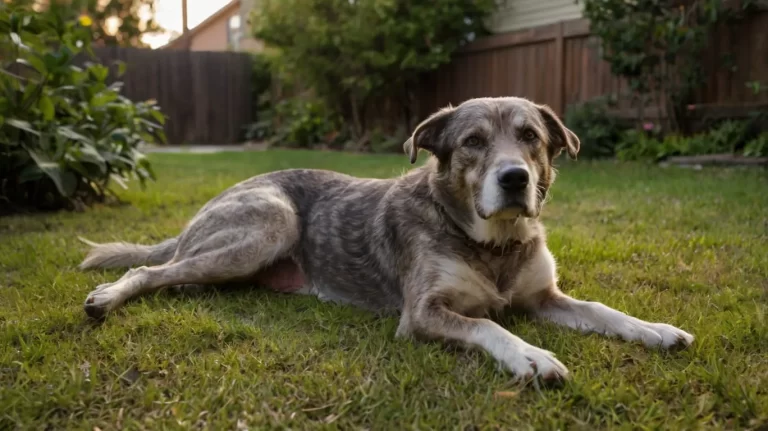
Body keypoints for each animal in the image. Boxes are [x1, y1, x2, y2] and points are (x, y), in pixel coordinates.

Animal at [78, 96, 696, 384]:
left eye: (531, 137)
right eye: (472, 142)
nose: (515, 179)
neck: (490, 243)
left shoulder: (545, 297)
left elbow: (603, 310)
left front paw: (656, 330)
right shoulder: (422, 314)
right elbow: (489, 325)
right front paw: (531, 356)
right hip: (266, 224)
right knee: (150, 271)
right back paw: (108, 298)